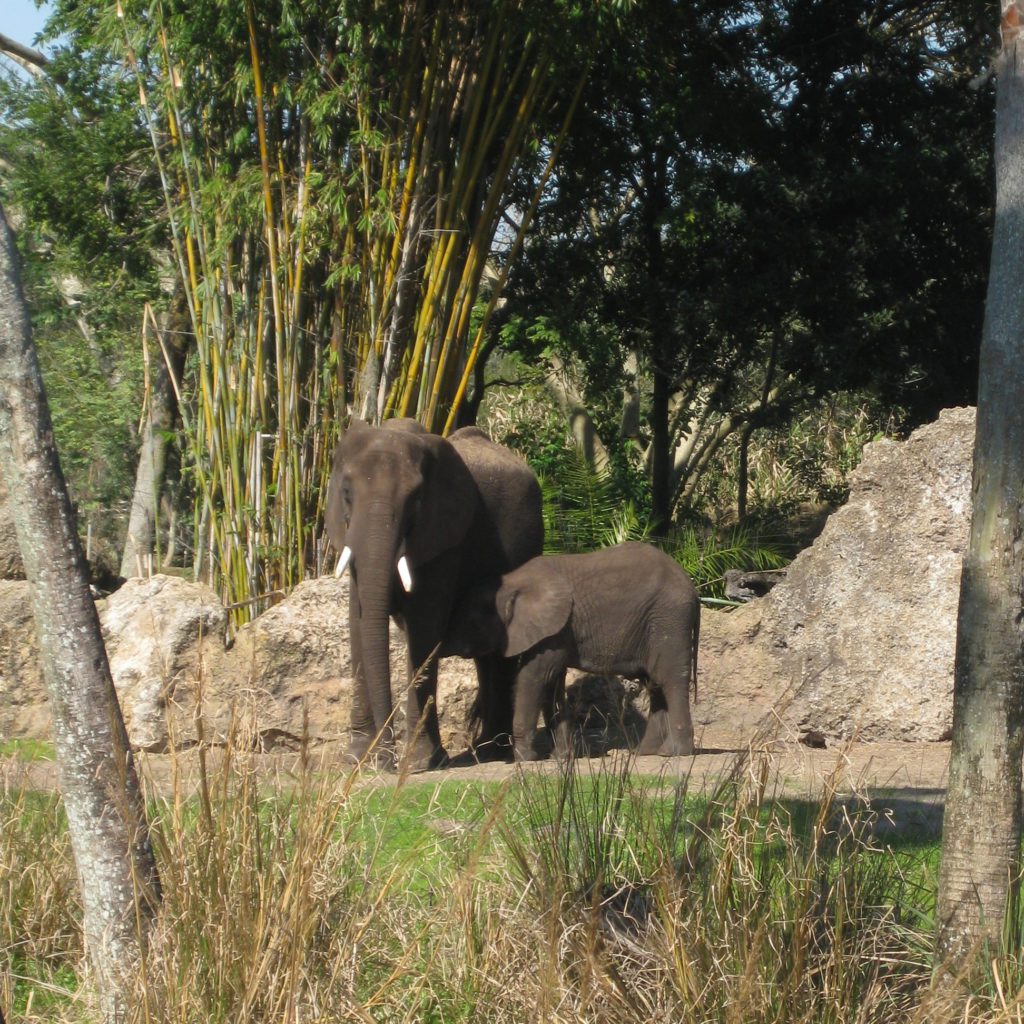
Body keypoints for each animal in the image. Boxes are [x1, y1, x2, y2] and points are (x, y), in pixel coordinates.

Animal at [324, 418, 543, 769]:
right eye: (346, 493)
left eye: (416, 500)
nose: (387, 760)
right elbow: (357, 624)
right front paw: (358, 761)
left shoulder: (446, 538)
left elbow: (425, 626)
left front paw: (419, 763)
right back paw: (483, 750)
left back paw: (494, 752)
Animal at [442, 542, 700, 760]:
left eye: (471, 623)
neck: (513, 582)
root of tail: (693, 589)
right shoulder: (557, 631)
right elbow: (552, 682)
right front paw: (561, 758)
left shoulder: (555, 630)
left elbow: (534, 677)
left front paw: (525, 759)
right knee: (655, 684)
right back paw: (644, 752)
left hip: (669, 620)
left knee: (670, 680)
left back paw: (674, 753)